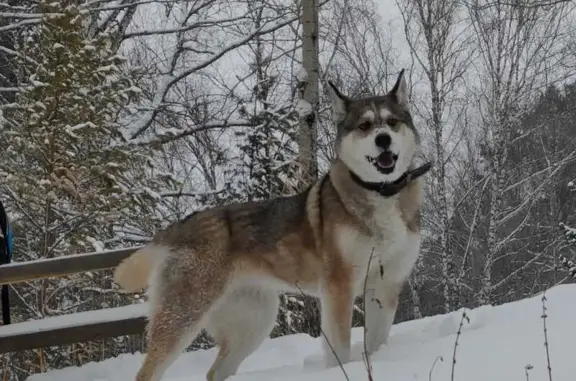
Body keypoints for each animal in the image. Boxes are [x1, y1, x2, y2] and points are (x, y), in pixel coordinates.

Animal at [112, 69, 430, 380]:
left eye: (392, 122)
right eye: (364, 126)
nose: (383, 139)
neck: (382, 193)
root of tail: (183, 225)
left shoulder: (387, 284)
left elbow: (376, 341)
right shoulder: (339, 286)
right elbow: (340, 348)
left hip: (254, 320)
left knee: (215, 372)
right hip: (184, 314)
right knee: (147, 372)